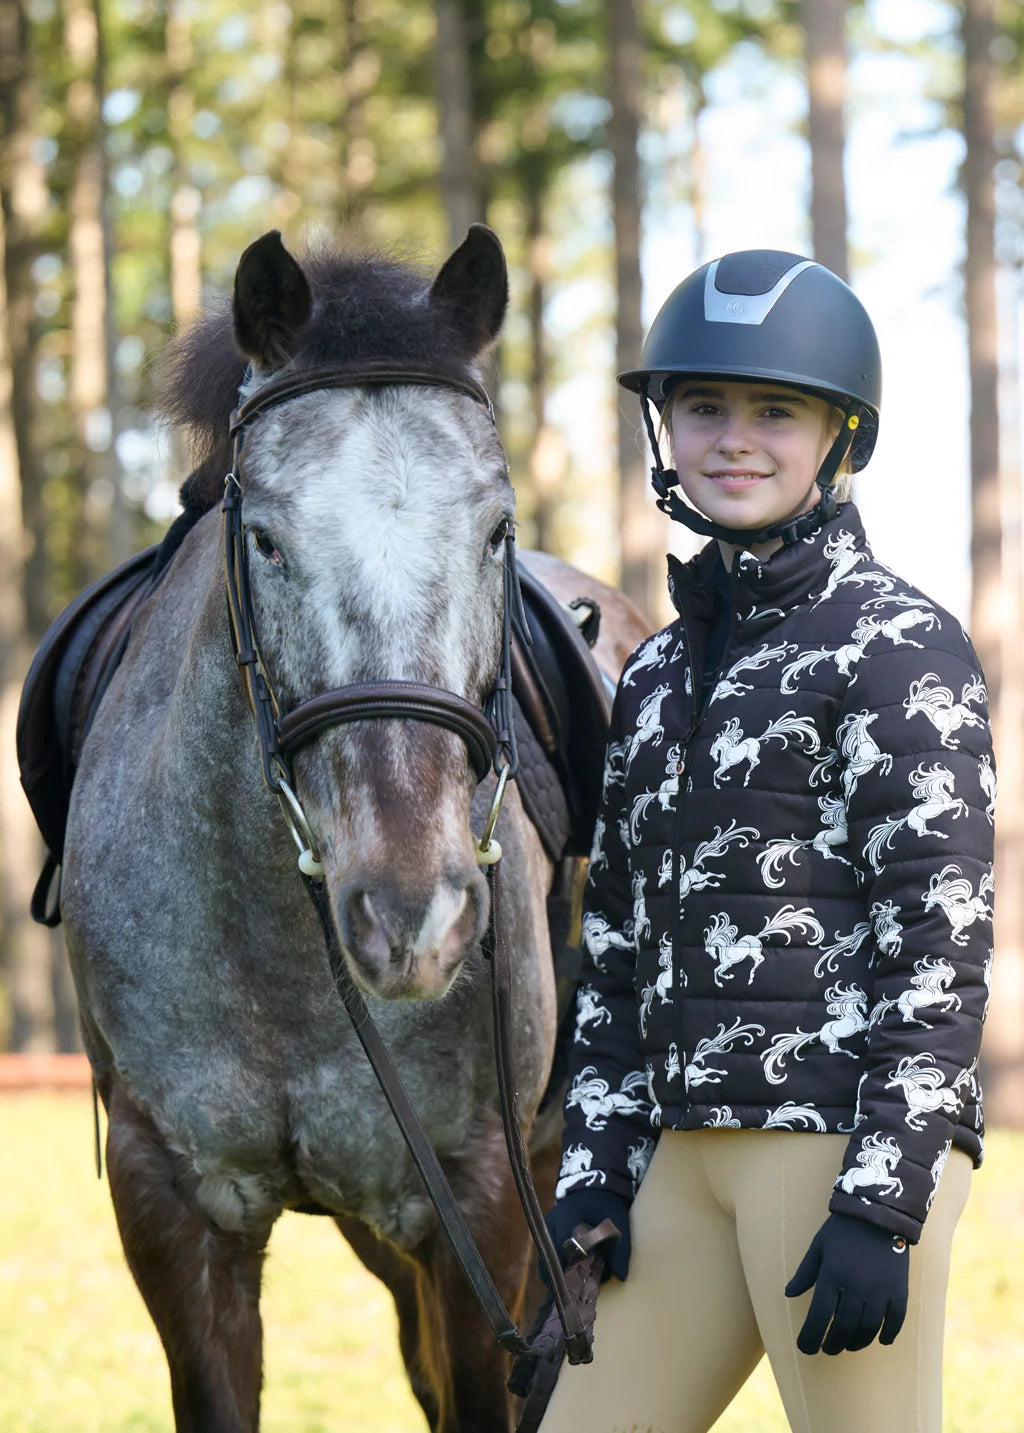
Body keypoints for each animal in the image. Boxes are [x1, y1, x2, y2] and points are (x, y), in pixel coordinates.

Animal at [57, 224, 648, 1433]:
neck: (283, 962)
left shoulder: (481, 1199)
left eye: (496, 530)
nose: (413, 912)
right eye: (266, 539)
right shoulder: (171, 1205)